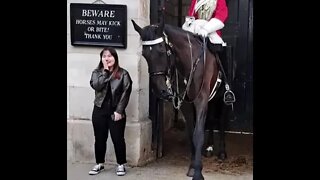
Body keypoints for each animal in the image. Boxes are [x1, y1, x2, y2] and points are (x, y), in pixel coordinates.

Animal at [131, 19, 234, 179]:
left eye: (162, 50)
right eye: (144, 54)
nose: (160, 90)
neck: (188, 63)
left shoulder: (201, 100)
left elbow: (198, 134)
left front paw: (198, 172)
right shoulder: (186, 103)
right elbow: (191, 133)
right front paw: (192, 167)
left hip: (221, 100)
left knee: (221, 121)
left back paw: (222, 152)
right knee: (211, 120)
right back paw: (209, 147)